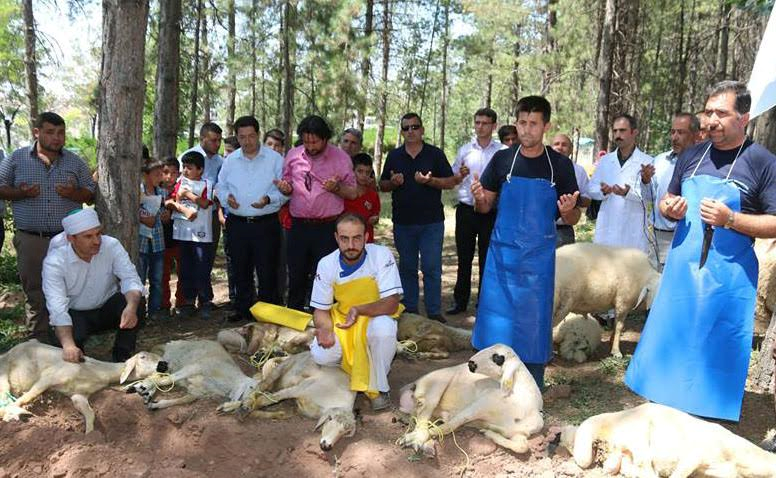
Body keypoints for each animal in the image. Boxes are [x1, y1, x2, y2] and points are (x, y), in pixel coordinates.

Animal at [0, 339, 160, 433]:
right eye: (142, 357)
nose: (163, 364)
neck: (96, 371)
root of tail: (7, 352)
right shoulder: (48, 378)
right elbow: (28, 396)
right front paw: (16, 409)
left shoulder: (78, 395)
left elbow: (90, 413)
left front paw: (90, 435)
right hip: (4, 373)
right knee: (6, 396)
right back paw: (15, 414)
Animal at [124, 339, 258, 410]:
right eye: (251, 387)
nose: (247, 408)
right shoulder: (193, 368)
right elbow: (168, 381)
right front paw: (143, 387)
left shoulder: (196, 392)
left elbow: (182, 400)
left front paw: (156, 404)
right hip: (168, 361)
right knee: (157, 373)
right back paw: (142, 387)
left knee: (157, 375)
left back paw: (147, 393)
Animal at [218, 351, 357, 451]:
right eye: (331, 419)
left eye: (346, 432)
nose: (327, 446)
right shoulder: (299, 389)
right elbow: (267, 400)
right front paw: (244, 410)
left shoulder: (298, 407)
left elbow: (278, 411)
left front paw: (251, 411)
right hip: (281, 370)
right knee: (261, 386)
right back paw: (242, 405)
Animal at [397, 344, 543, 456]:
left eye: (497, 357)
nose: (471, 363)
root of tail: (414, 384)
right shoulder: (479, 405)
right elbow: (450, 426)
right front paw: (417, 437)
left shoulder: (519, 434)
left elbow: (522, 447)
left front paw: (489, 432)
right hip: (434, 389)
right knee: (422, 418)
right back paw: (417, 439)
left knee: (419, 418)